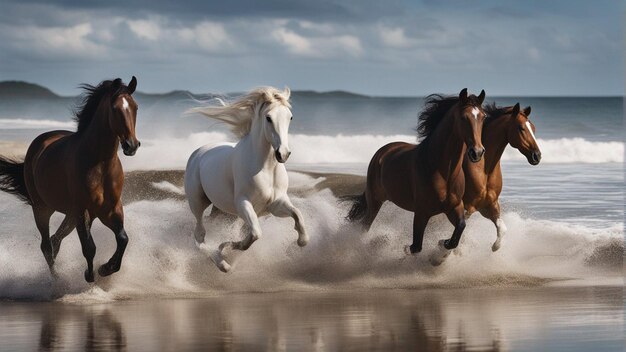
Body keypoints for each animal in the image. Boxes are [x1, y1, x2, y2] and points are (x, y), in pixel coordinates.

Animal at [0, 75, 140, 282]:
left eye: (135, 107)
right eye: (115, 109)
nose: (132, 145)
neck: (100, 163)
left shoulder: (111, 209)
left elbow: (123, 239)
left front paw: (106, 268)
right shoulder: (83, 211)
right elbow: (89, 247)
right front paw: (90, 275)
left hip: (70, 214)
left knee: (55, 241)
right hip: (42, 209)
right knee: (46, 245)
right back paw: (57, 280)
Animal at [183, 86, 308, 272]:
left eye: (290, 117)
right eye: (268, 118)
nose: (283, 154)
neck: (266, 168)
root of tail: (198, 152)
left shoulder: (276, 204)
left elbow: (298, 216)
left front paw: (299, 242)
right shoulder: (243, 203)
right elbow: (255, 233)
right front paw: (224, 247)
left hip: (222, 210)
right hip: (198, 202)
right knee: (199, 235)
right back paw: (222, 263)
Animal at [344, 89, 486, 262]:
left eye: (483, 116)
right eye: (463, 117)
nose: (477, 152)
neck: (443, 173)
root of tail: (382, 152)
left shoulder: (454, 207)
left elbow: (458, 231)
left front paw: (441, 248)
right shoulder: (421, 212)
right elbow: (416, 246)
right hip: (375, 201)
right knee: (364, 226)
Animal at [460, 101, 540, 250]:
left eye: (533, 128)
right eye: (521, 128)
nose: (537, 156)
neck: (485, 170)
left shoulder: (489, 205)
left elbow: (502, 229)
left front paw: (494, 247)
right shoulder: (468, 206)